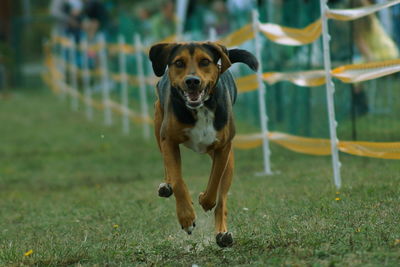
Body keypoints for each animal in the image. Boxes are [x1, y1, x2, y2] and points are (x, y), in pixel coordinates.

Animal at [148, 42, 258, 249]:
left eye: (205, 61)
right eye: (179, 62)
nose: (192, 81)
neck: (201, 108)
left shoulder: (223, 148)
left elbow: (215, 182)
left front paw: (204, 200)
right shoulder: (169, 140)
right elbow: (178, 180)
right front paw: (186, 218)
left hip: (229, 161)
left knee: (222, 200)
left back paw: (222, 234)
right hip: (158, 119)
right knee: (168, 168)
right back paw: (166, 186)